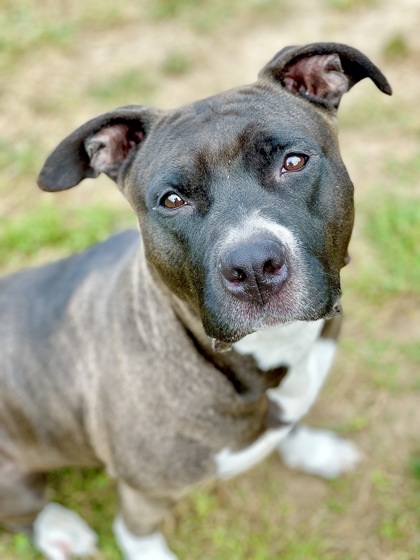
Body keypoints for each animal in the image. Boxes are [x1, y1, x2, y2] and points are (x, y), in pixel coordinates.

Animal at [0, 41, 390, 556]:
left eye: (293, 162)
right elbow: (137, 533)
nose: (252, 265)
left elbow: (293, 423)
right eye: (171, 200)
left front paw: (313, 449)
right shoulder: (145, 490)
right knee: (23, 512)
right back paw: (59, 528)